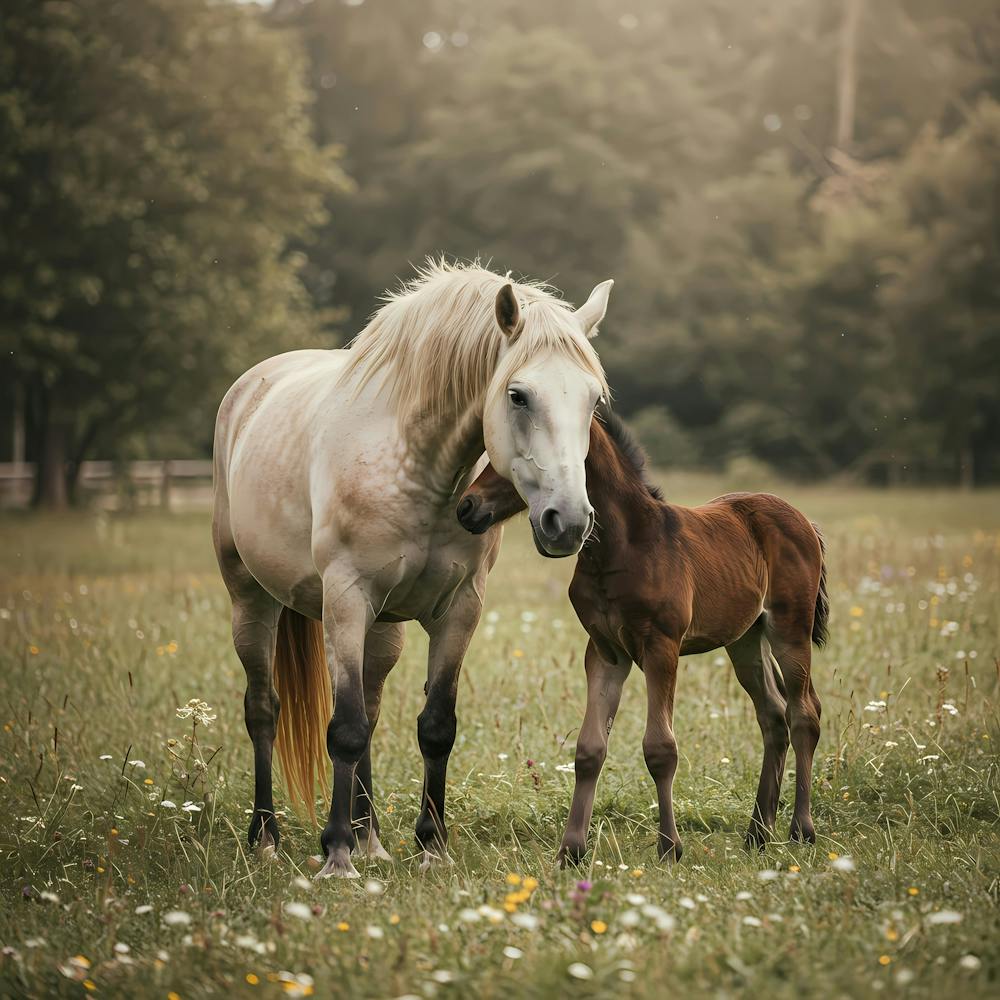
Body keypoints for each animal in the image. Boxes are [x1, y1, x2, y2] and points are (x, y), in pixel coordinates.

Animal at [213, 260, 614, 877]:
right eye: (518, 396)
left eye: (593, 402)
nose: (566, 521)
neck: (417, 466)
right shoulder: (346, 601)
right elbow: (344, 730)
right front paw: (336, 857)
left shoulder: (460, 610)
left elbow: (434, 727)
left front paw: (431, 848)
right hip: (250, 601)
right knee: (264, 710)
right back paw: (267, 839)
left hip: (384, 630)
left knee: (372, 711)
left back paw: (370, 837)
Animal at [457, 410, 829, 863]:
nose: (467, 506)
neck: (622, 545)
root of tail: (805, 521)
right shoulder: (605, 651)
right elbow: (589, 749)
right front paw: (571, 850)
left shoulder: (660, 647)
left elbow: (660, 748)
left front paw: (670, 847)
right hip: (745, 639)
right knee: (773, 715)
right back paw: (758, 833)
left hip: (790, 628)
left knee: (804, 713)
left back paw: (801, 830)